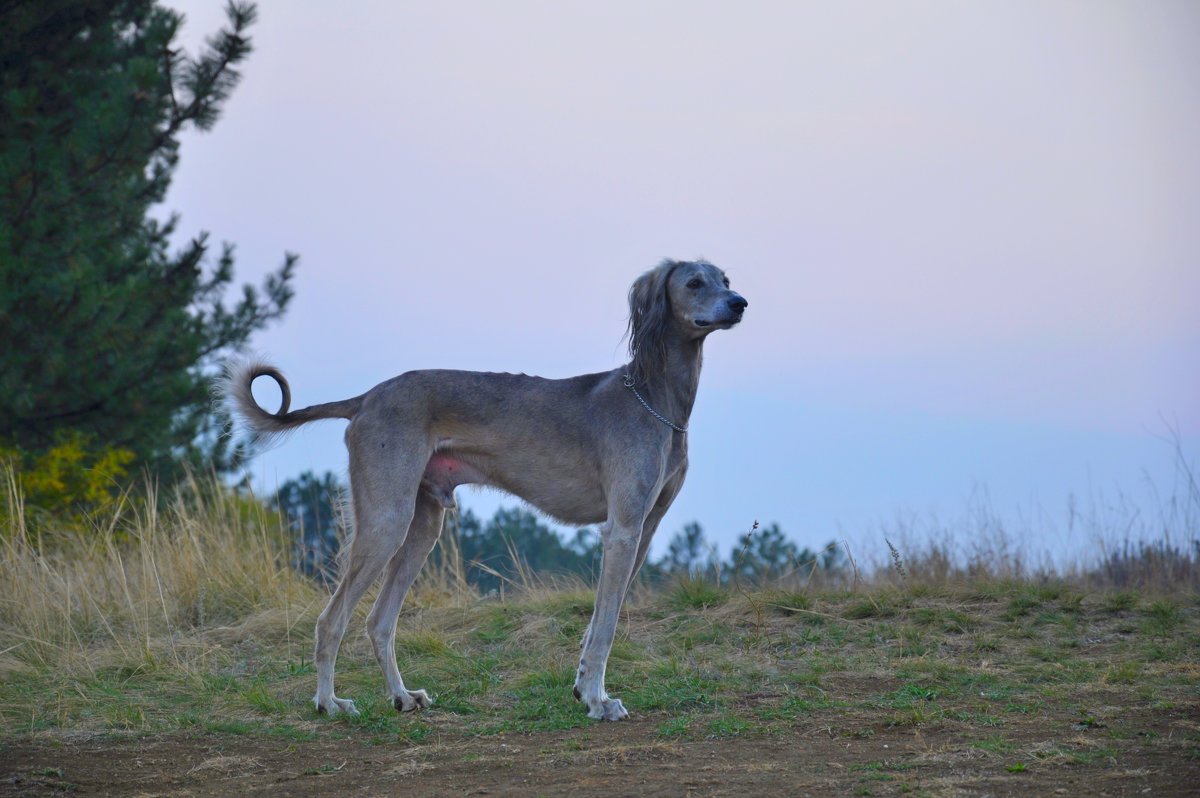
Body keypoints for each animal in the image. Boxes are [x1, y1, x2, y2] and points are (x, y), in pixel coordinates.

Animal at [224, 258, 744, 720]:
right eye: (694, 283)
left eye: (725, 278)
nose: (739, 303)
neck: (655, 400)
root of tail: (368, 398)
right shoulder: (623, 529)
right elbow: (606, 628)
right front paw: (599, 701)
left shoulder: (644, 530)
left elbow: (598, 621)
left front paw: (582, 688)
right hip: (387, 521)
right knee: (331, 620)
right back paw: (328, 703)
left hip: (422, 525)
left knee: (379, 621)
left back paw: (402, 697)